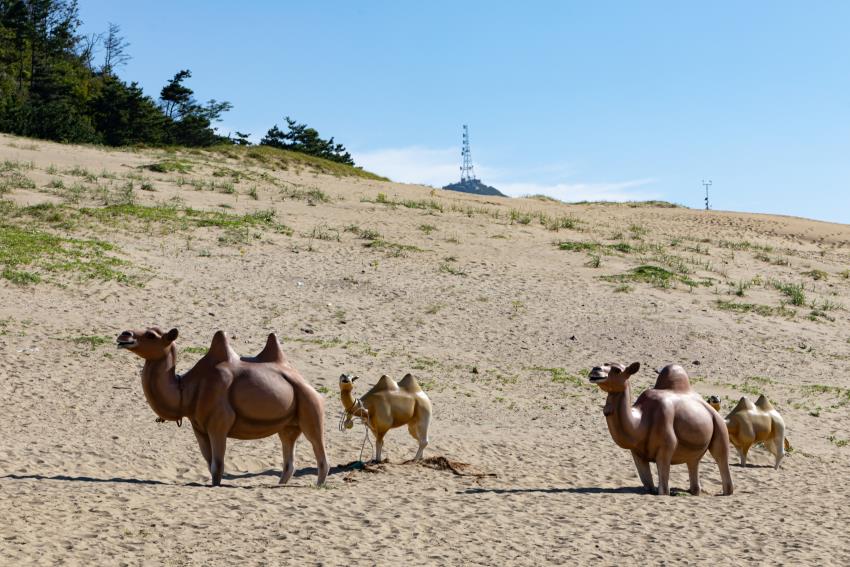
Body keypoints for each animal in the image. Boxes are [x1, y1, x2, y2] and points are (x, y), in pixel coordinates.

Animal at [117, 326, 330, 486]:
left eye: (151, 335)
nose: (124, 334)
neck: (187, 390)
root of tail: (306, 382)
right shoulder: (198, 427)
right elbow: (208, 461)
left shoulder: (218, 424)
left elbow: (217, 464)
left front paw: (216, 485)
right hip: (288, 424)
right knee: (288, 450)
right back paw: (279, 484)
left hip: (310, 405)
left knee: (317, 445)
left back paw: (318, 485)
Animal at [588, 364, 732, 496]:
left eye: (617, 370)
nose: (595, 369)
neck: (640, 421)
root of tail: (710, 408)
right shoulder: (637, 453)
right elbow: (646, 482)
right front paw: (650, 490)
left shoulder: (667, 445)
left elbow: (663, 484)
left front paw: (664, 493)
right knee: (693, 461)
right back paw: (694, 491)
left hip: (719, 425)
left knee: (721, 457)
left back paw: (726, 492)